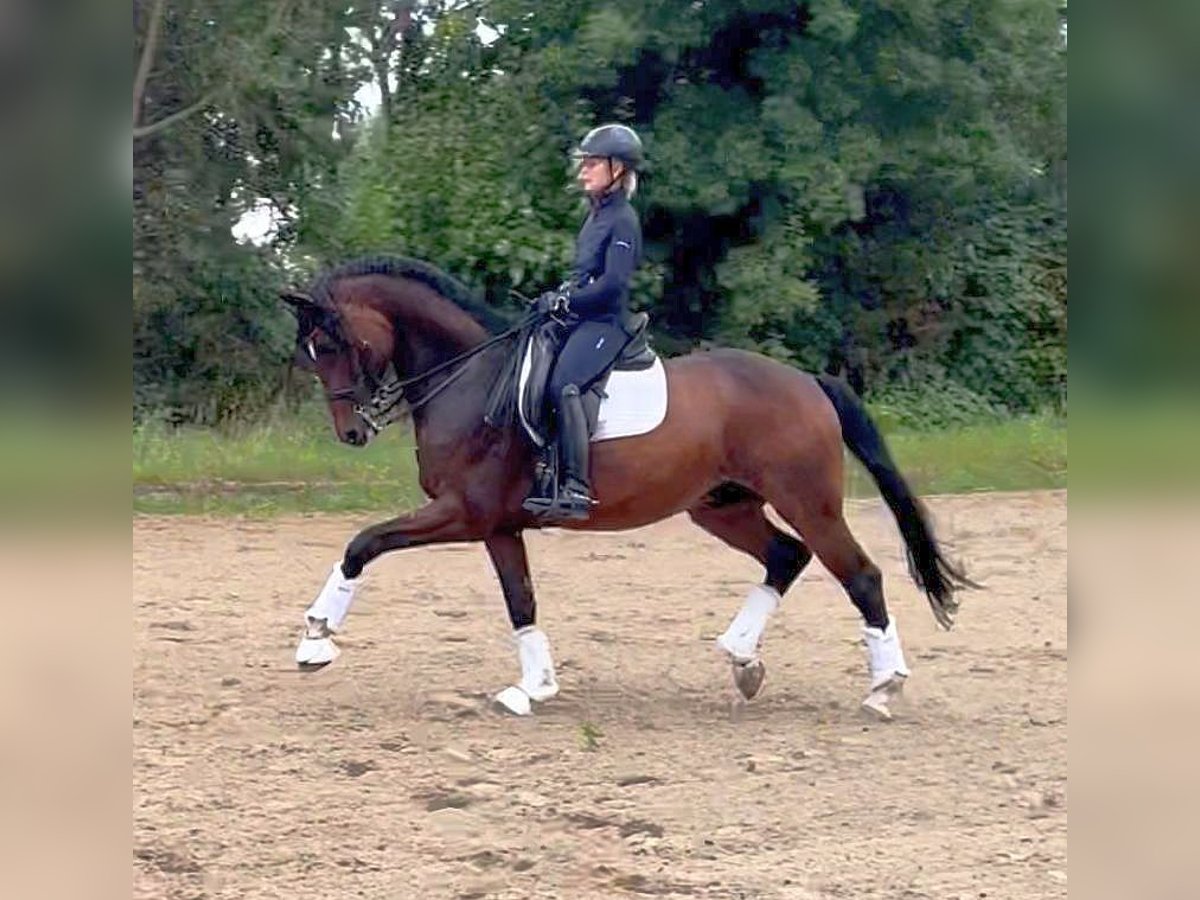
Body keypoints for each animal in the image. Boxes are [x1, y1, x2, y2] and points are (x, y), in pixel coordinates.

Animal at [283, 256, 974, 724]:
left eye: (333, 342)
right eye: (313, 353)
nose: (351, 432)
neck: (471, 377)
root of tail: (807, 381)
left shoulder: (461, 512)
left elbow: (363, 543)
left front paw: (316, 640)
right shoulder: (497, 525)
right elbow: (521, 602)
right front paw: (533, 687)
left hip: (809, 503)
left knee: (860, 576)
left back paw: (882, 690)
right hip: (721, 508)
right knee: (786, 555)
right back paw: (743, 660)